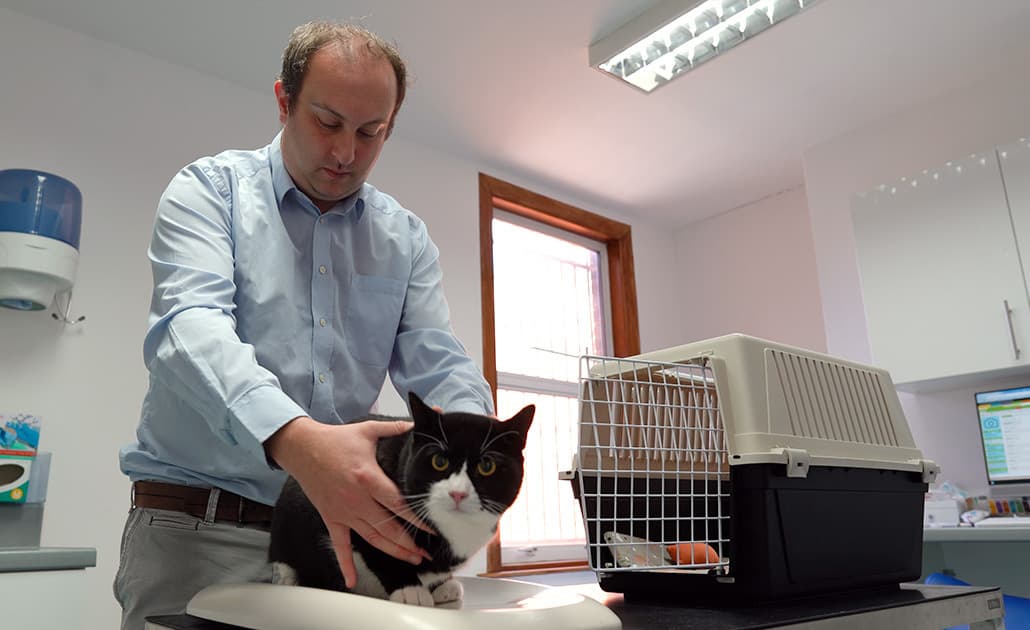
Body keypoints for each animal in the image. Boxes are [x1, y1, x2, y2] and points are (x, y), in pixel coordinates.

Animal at [269, 393, 535, 605]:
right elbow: (379, 552)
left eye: (487, 466)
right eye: (439, 461)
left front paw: (442, 585)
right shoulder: (360, 510)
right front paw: (410, 590)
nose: (458, 493)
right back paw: (287, 576)